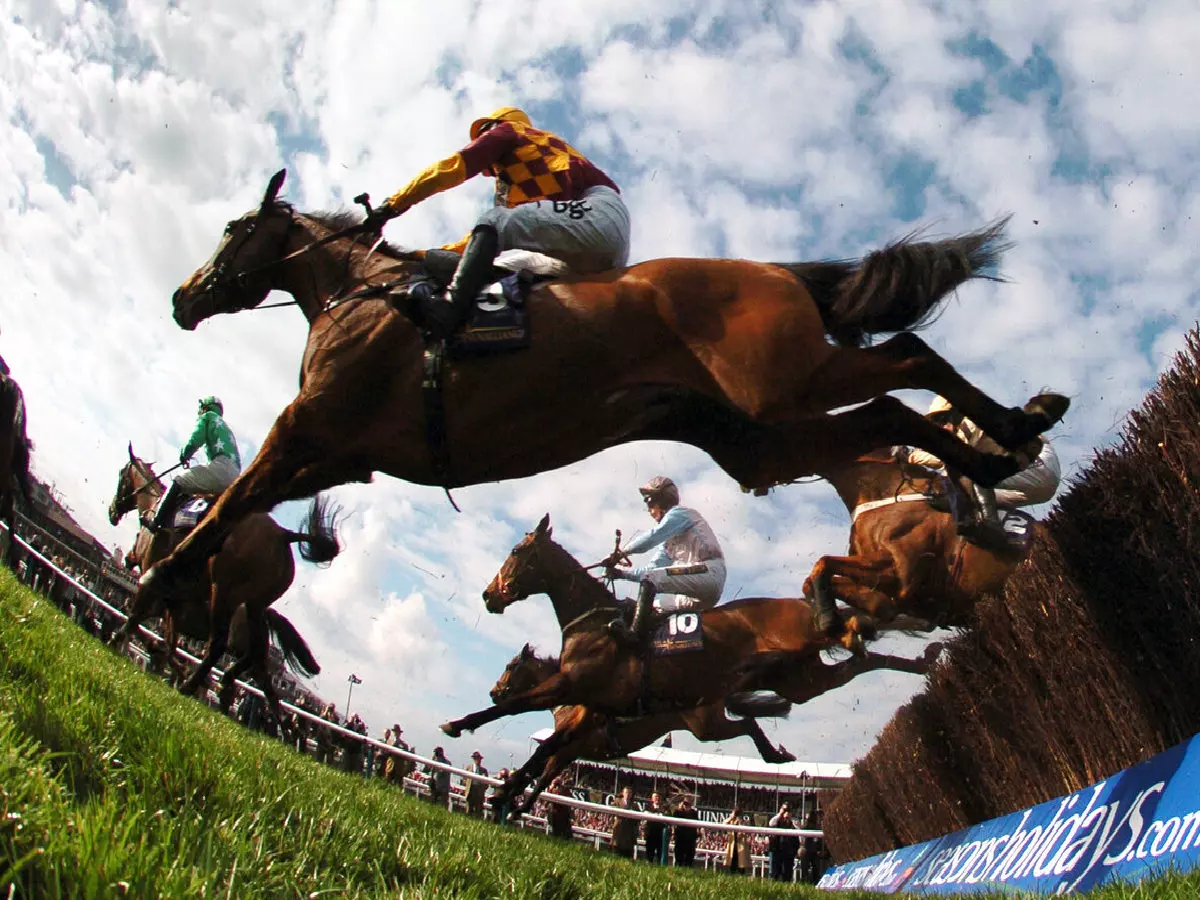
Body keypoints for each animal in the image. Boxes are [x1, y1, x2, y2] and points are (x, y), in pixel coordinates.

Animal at [108, 444, 339, 726]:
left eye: (122, 474)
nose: (112, 511)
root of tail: (285, 534)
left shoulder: (154, 582)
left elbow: (138, 617)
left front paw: (120, 639)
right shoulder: (173, 605)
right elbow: (167, 641)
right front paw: (167, 660)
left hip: (225, 592)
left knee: (219, 646)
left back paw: (194, 685)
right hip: (255, 606)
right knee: (258, 663)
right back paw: (269, 714)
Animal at [140, 168, 1068, 611]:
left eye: (232, 228)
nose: (183, 295)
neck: (360, 292)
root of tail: (774, 270)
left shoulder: (304, 427)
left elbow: (235, 500)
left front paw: (159, 579)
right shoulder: (338, 453)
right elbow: (253, 503)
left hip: (783, 385)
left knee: (908, 355)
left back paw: (1018, 423)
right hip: (759, 440)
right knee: (886, 411)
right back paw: (995, 461)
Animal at [489, 640, 942, 817]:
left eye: (511, 666)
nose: (495, 692)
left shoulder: (572, 744)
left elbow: (539, 764)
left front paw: (506, 800)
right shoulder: (571, 750)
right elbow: (543, 771)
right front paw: (515, 803)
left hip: (707, 724)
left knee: (750, 722)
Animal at [803, 449, 1038, 633]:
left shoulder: (904, 576)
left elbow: (823, 563)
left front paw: (831, 622)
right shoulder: (887, 596)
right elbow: (812, 580)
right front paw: (838, 624)